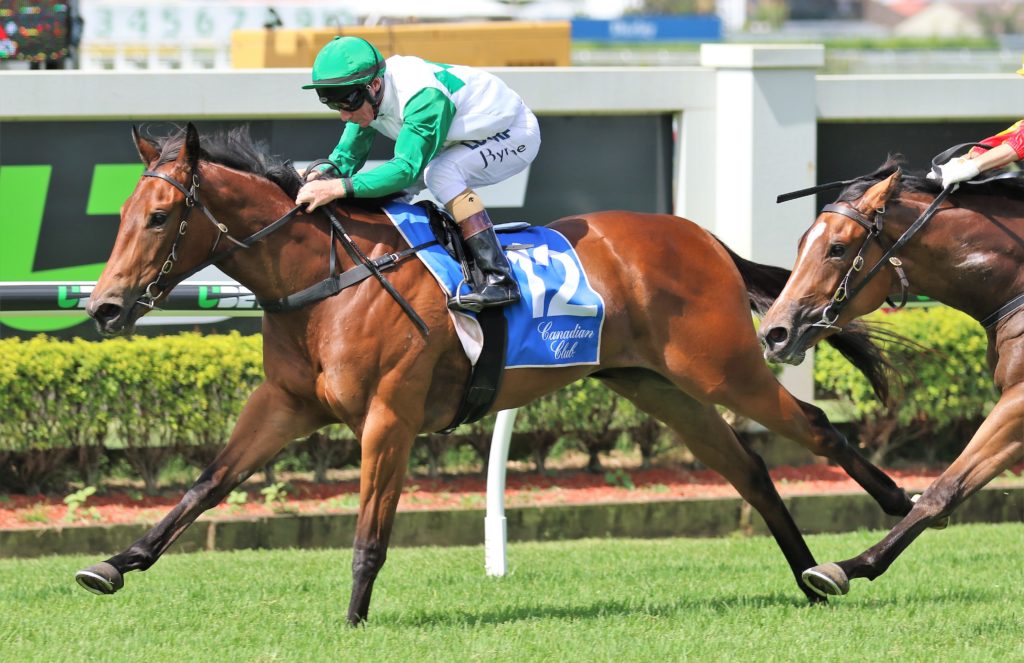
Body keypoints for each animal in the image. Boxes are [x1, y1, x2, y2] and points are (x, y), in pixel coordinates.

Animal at [76, 123, 915, 624]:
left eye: (159, 217)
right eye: (121, 215)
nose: (106, 305)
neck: (325, 278)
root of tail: (701, 236)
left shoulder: (389, 415)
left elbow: (371, 529)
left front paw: (353, 617)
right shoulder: (285, 403)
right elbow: (207, 482)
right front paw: (114, 563)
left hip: (722, 367)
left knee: (815, 428)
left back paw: (896, 507)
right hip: (656, 383)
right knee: (747, 467)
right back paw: (810, 571)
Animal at [759, 157, 1024, 598]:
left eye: (837, 248)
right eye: (800, 245)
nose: (772, 334)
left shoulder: (1017, 400)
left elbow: (941, 488)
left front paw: (844, 566)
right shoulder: (1013, 401)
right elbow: (954, 486)